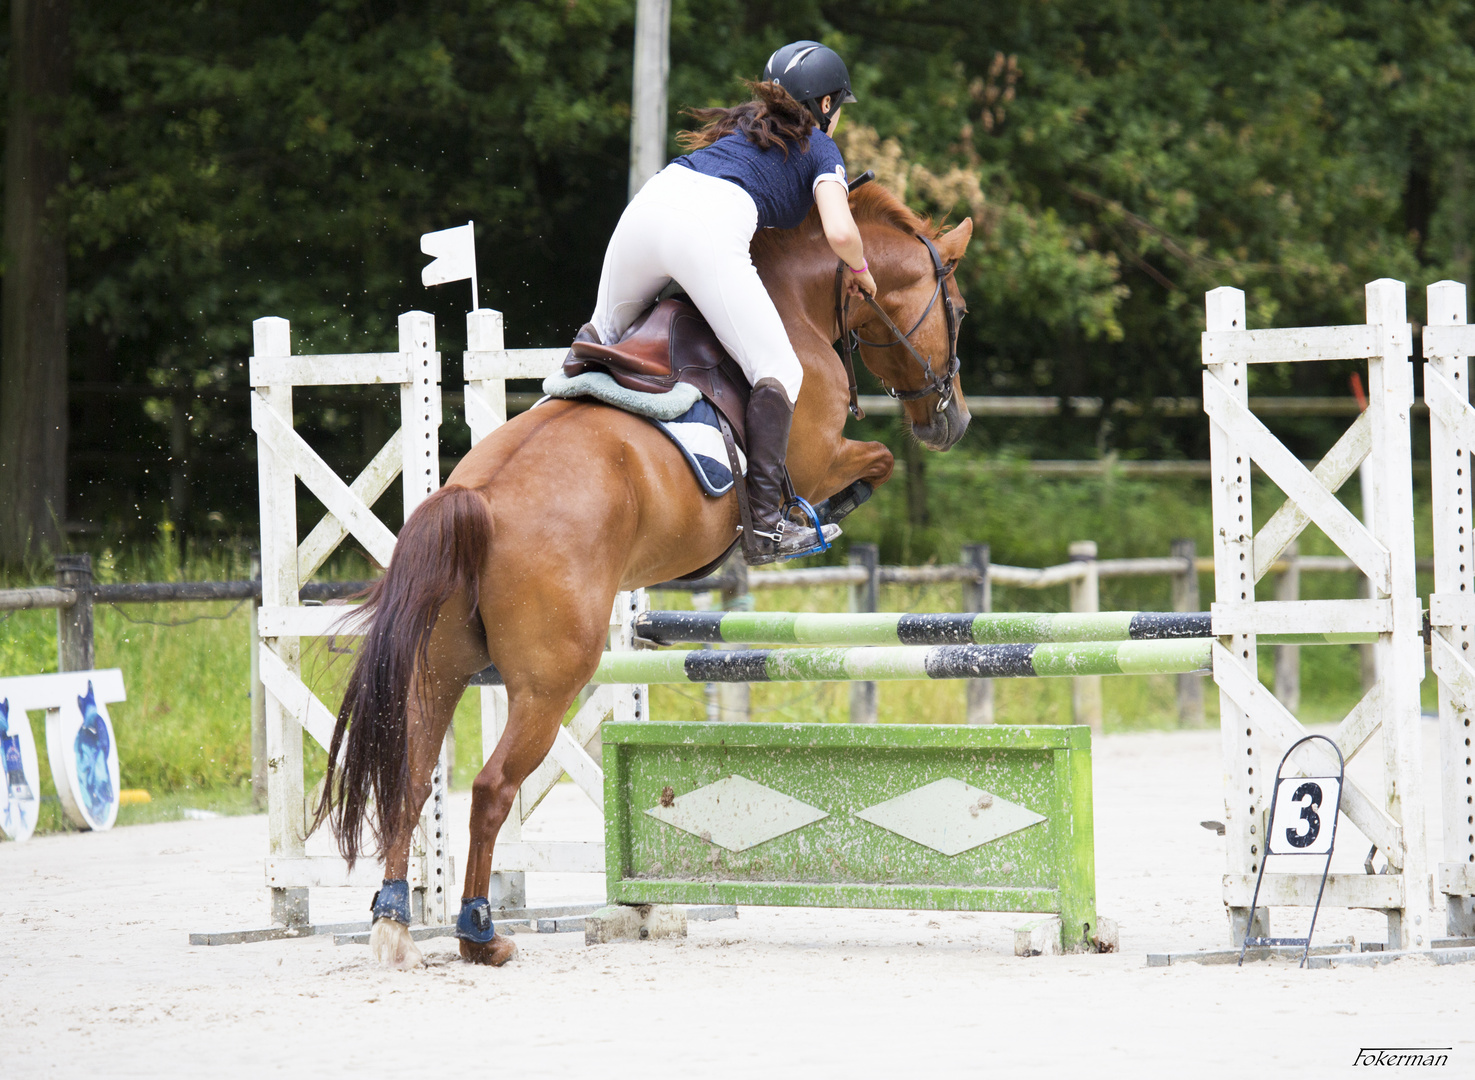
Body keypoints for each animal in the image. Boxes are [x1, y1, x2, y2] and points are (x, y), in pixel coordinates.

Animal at [317, 181, 973, 967]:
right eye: (959, 310)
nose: (952, 423)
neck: (799, 296)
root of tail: (474, 498)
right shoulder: (819, 453)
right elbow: (873, 460)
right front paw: (798, 525)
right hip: (549, 682)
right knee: (492, 787)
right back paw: (479, 932)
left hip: (440, 666)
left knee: (413, 780)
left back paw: (393, 922)